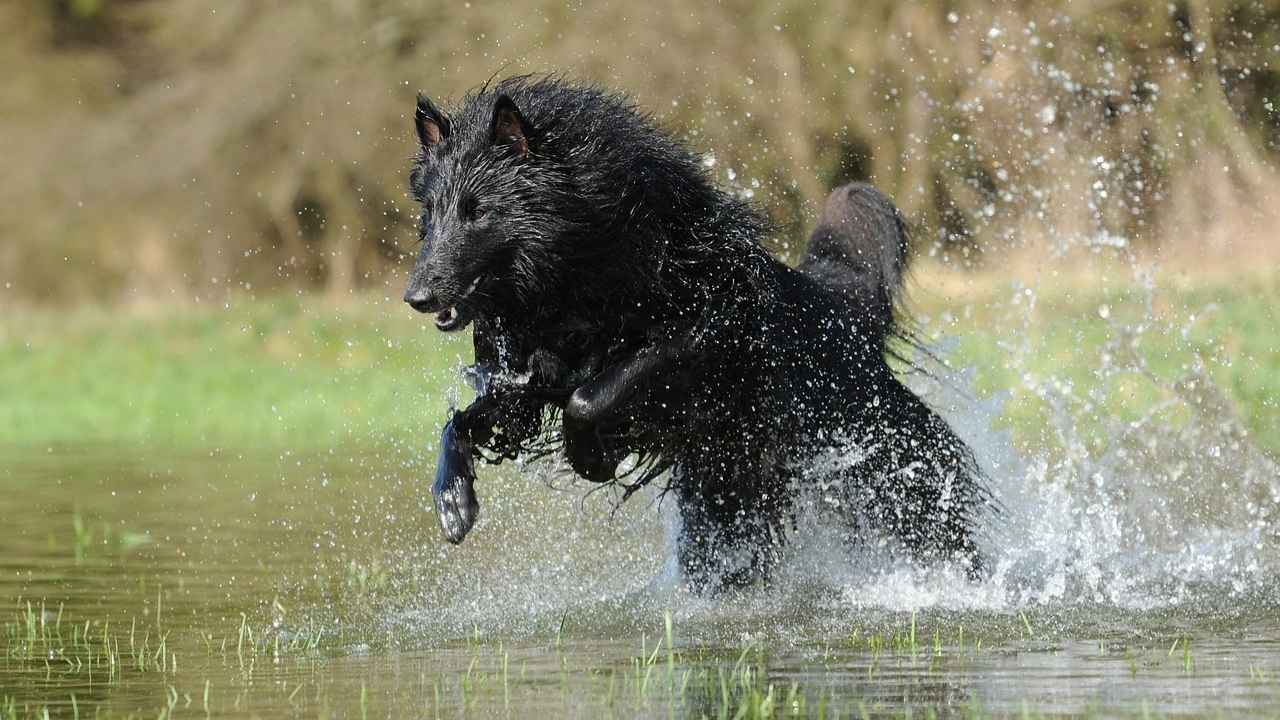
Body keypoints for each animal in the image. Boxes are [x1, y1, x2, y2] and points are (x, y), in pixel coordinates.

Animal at [404, 75, 983, 589]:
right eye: (430, 214)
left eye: (478, 212)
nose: (416, 296)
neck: (581, 262)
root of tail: (841, 315)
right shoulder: (525, 381)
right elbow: (464, 422)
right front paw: (452, 498)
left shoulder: (698, 335)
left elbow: (589, 398)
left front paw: (592, 459)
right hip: (726, 504)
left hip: (894, 478)